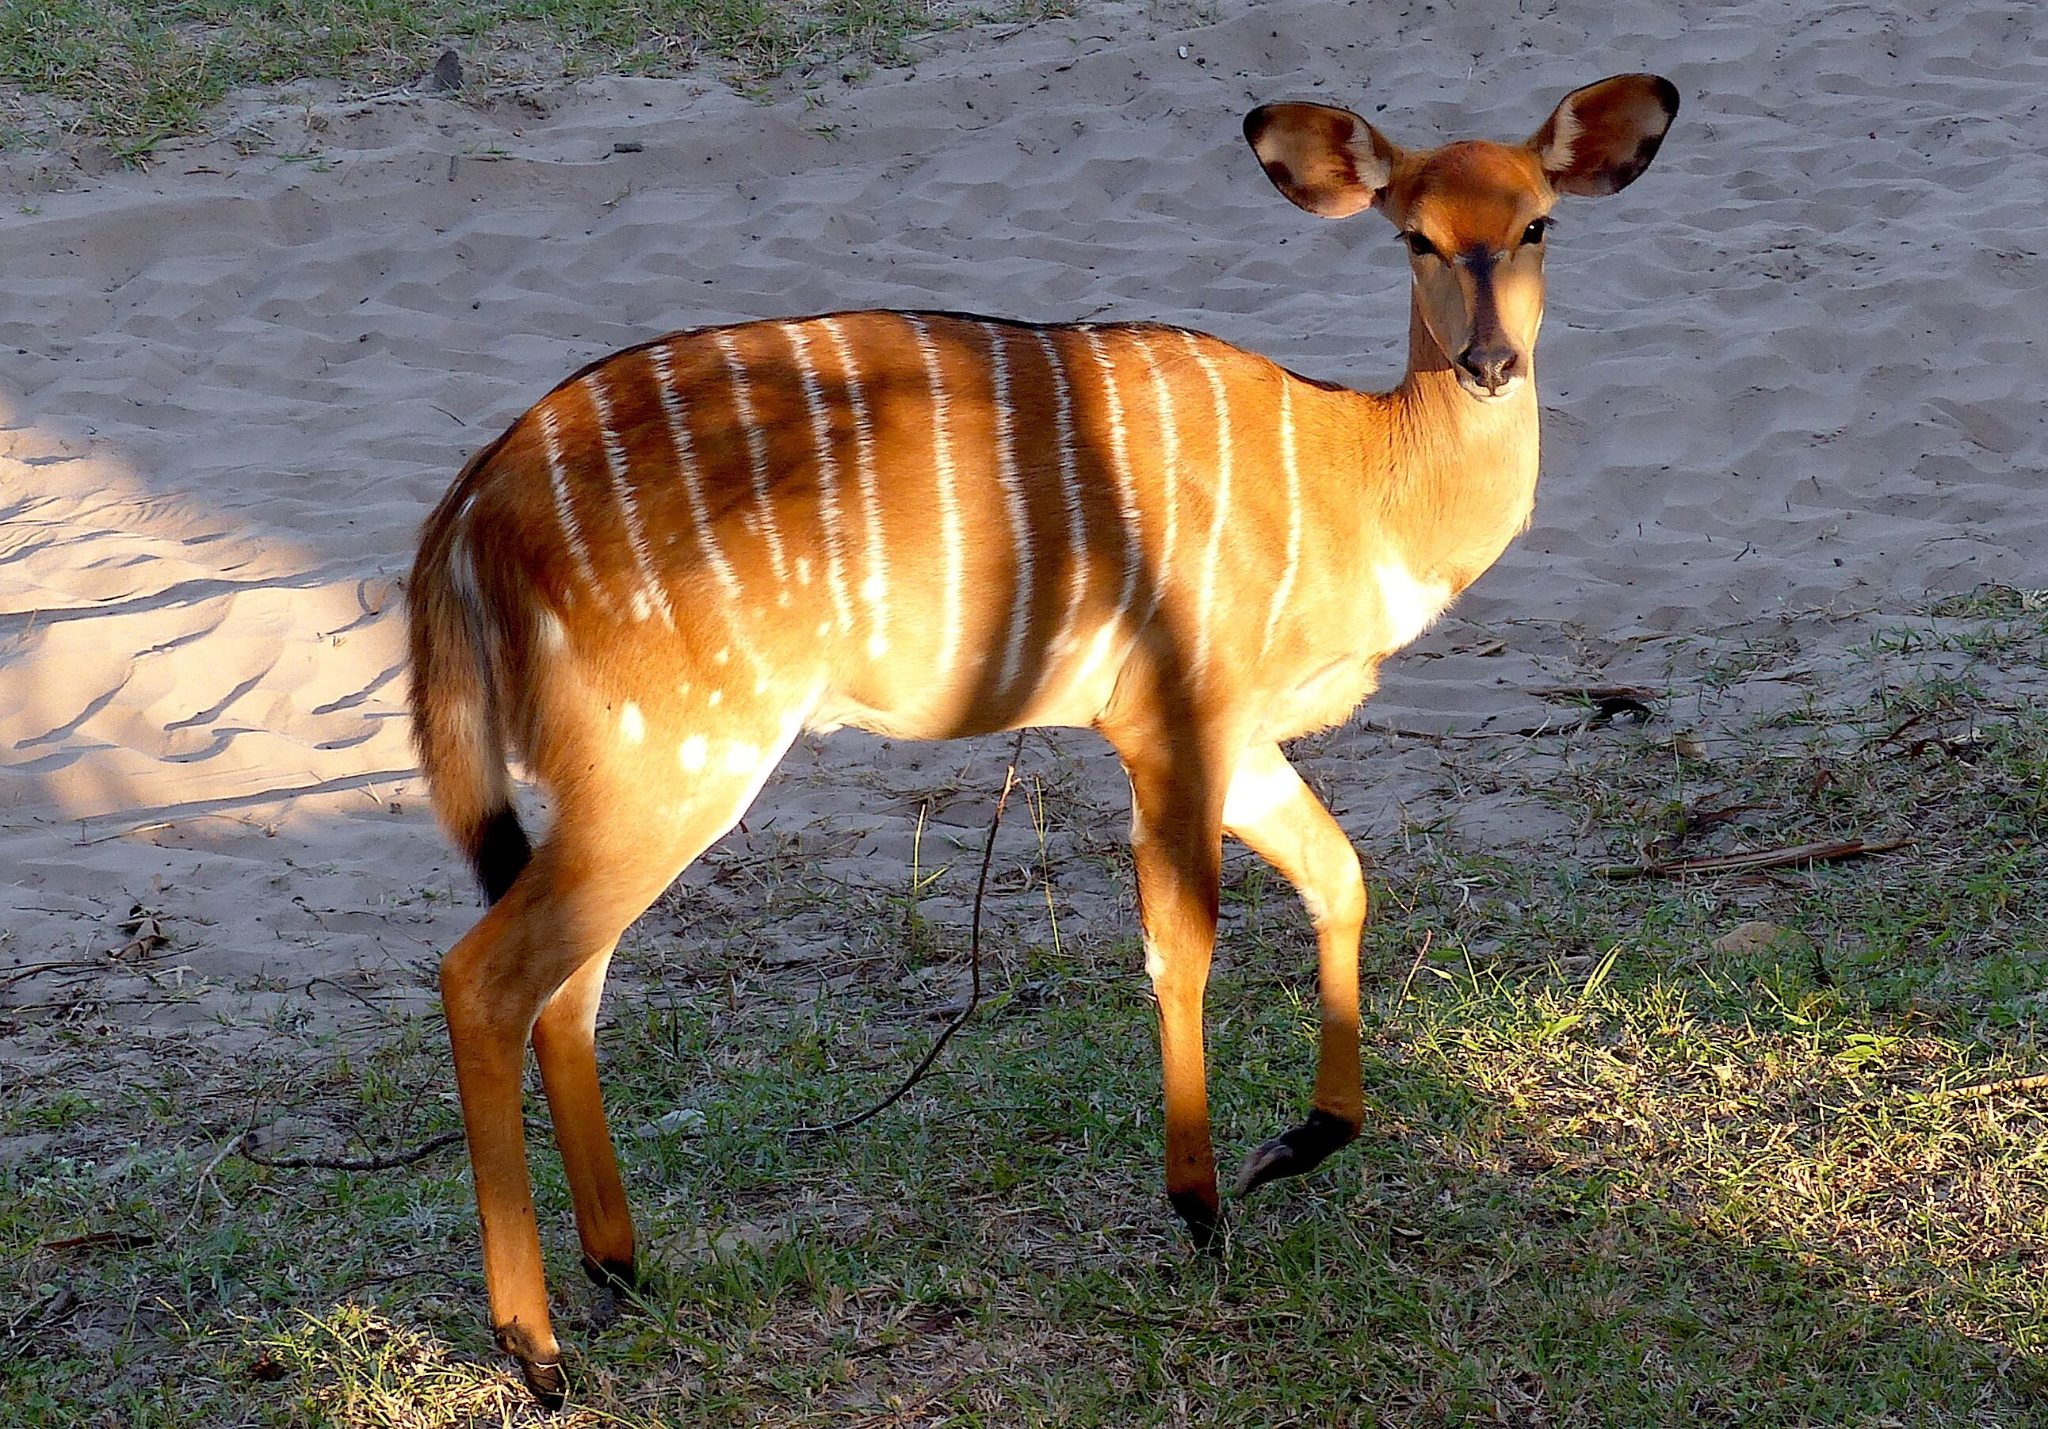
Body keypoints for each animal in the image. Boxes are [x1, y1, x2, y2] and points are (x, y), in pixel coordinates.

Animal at [408, 75, 1678, 1405]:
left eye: (1535, 222)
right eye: (1414, 237)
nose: (1487, 363)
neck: (1354, 483)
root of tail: (463, 515)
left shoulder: (1237, 738)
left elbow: (1339, 876)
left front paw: (1297, 1143)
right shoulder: (1173, 716)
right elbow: (1183, 946)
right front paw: (1200, 1207)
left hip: (627, 779)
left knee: (568, 984)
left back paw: (621, 1267)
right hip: (674, 759)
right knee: (487, 976)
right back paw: (534, 1346)